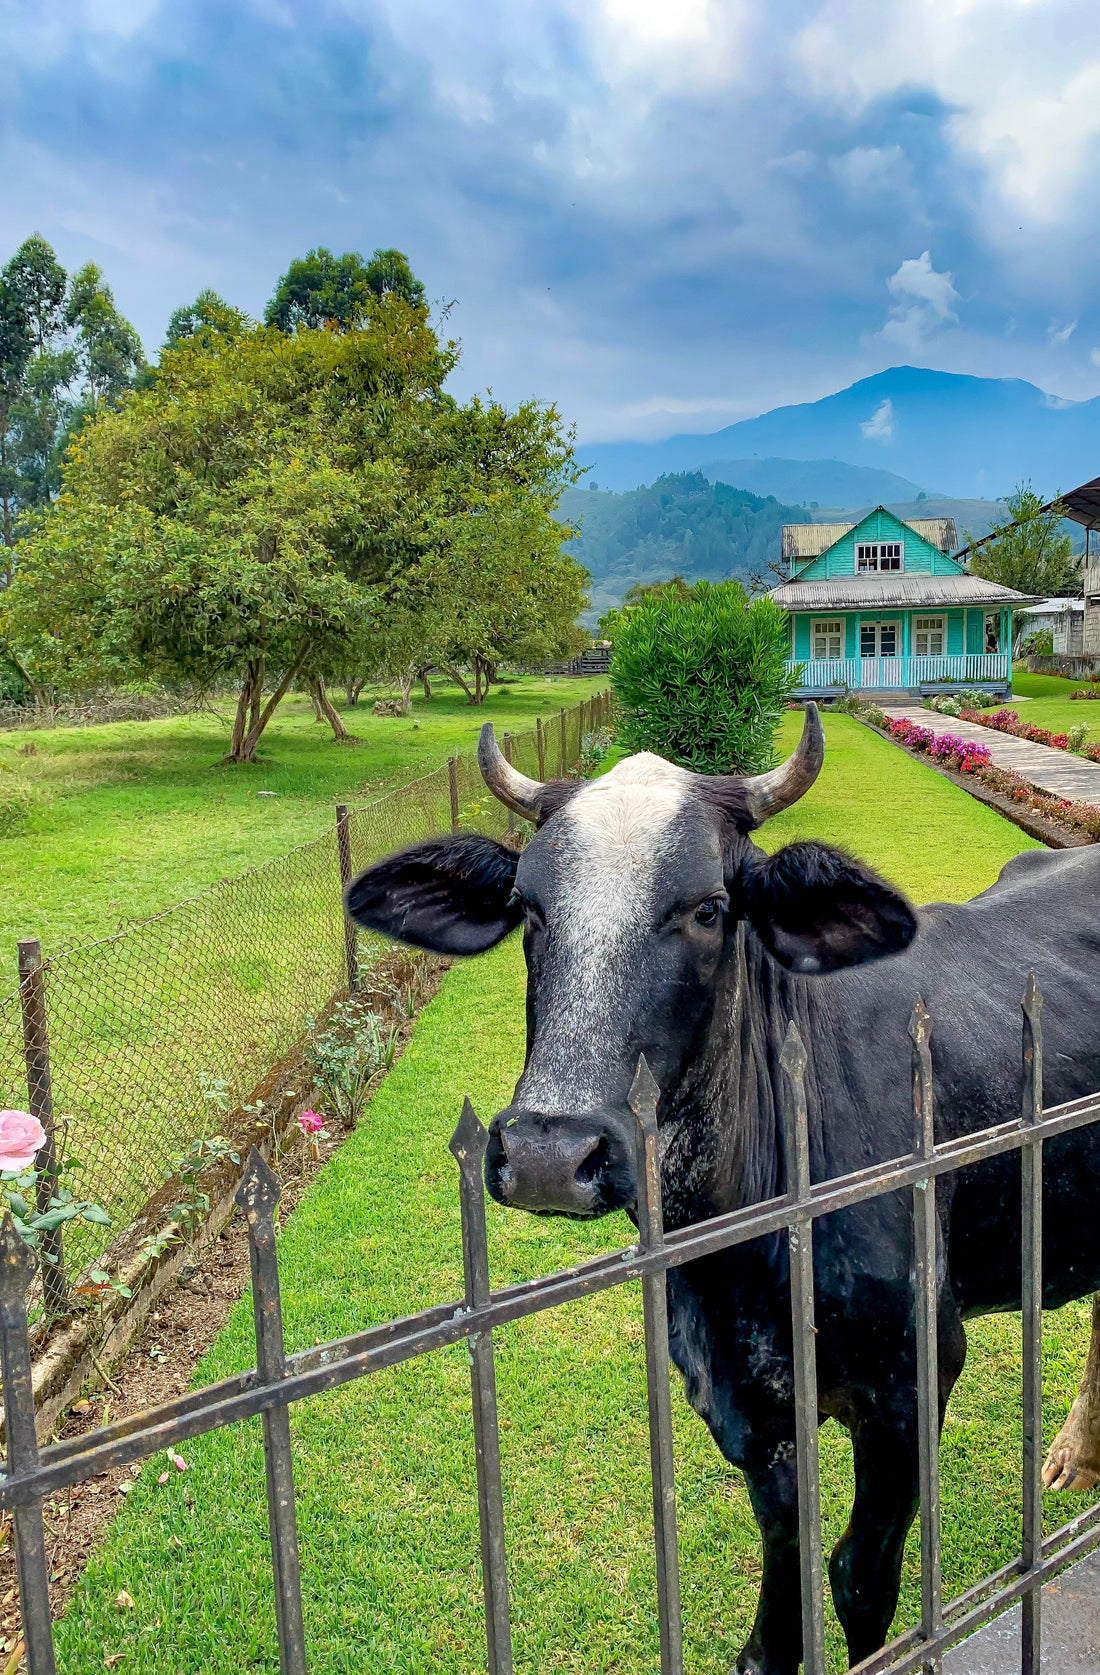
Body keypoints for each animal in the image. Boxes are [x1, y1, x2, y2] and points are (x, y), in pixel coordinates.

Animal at [345, 708, 1100, 1674]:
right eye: (528, 907)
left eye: (708, 908)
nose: (550, 1151)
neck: (742, 1252)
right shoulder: (735, 1398)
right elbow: (782, 1589)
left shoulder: (914, 1379)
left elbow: (860, 1578)